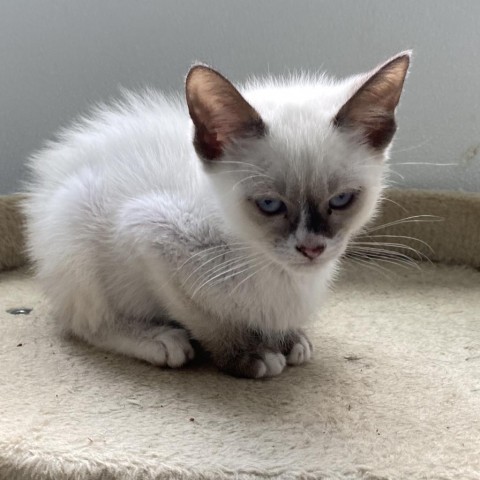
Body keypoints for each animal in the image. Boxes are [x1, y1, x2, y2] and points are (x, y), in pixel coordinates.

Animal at [24, 50, 410, 376]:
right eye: (270, 205)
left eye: (342, 199)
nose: (312, 249)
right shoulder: (149, 235)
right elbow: (204, 318)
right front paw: (248, 355)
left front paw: (287, 339)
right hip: (77, 219)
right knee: (84, 322)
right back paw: (158, 340)